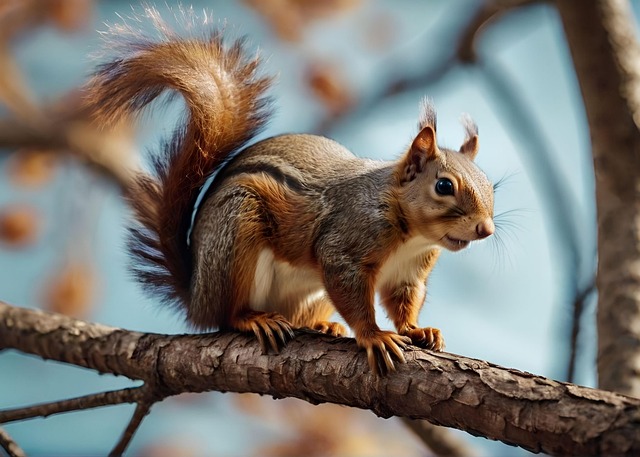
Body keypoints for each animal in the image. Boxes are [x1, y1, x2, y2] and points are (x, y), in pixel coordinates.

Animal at [83, 7, 495, 375]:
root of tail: (196, 295)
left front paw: (417, 330)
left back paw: (321, 324)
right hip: (234, 235)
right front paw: (374, 335)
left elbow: (404, 302)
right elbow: (352, 294)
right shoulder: (345, 244)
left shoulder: (408, 274)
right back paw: (254, 319)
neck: (410, 232)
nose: (486, 229)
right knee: (226, 315)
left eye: (491, 186)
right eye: (444, 185)